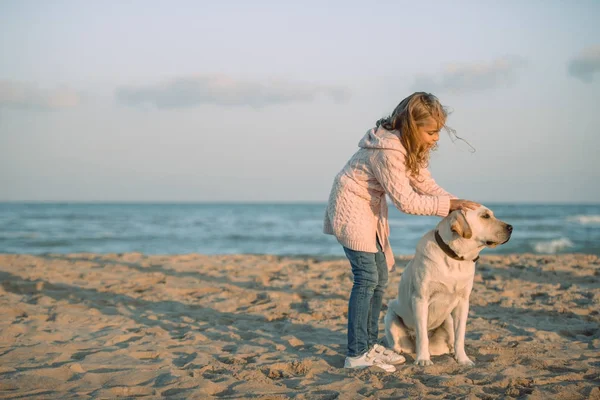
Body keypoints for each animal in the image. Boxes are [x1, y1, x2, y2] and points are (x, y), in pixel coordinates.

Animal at [384, 206, 510, 366]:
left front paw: (463, 359)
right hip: (390, 317)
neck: (455, 258)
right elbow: (422, 335)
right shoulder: (420, 299)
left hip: (448, 322)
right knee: (399, 343)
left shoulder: (463, 302)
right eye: (485, 216)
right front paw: (423, 359)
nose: (511, 227)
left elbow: (460, 336)